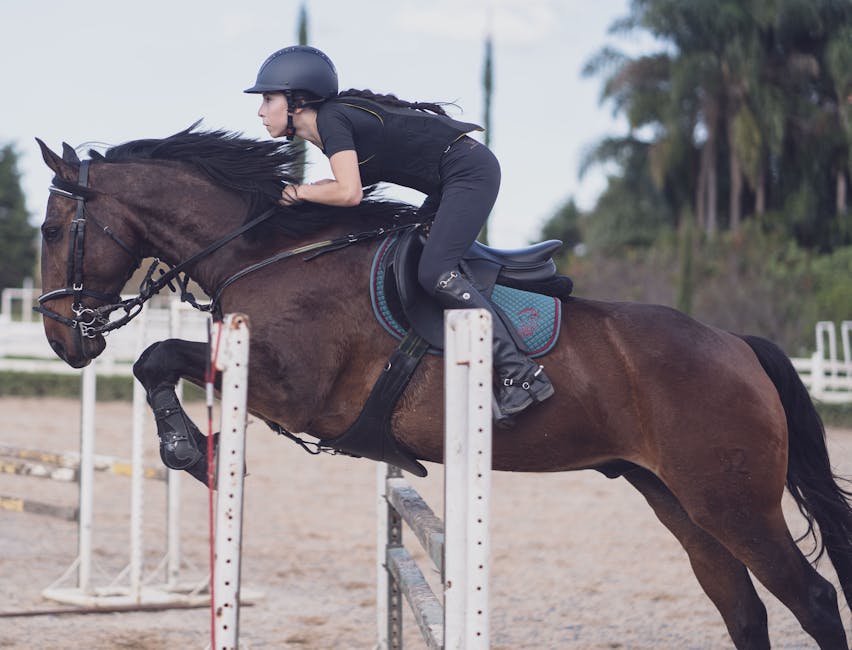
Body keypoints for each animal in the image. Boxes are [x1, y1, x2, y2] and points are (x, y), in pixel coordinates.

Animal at [35, 125, 852, 649]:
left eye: (47, 229)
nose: (63, 340)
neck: (269, 252)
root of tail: (737, 345)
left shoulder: (293, 389)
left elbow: (155, 357)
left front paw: (193, 452)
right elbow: (155, 361)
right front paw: (194, 450)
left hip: (730, 500)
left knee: (811, 598)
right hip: (678, 501)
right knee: (743, 608)